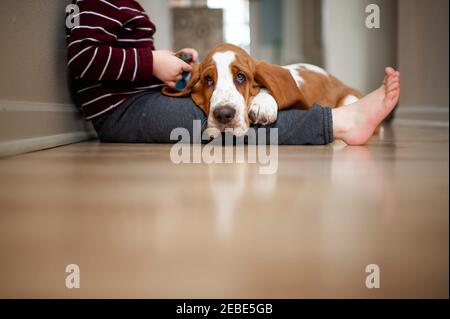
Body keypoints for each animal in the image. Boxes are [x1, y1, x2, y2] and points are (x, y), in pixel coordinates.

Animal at [163, 43, 362, 138]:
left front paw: (262, 105)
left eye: (241, 77)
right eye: (208, 79)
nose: (224, 115)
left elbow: (266, 88)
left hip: (350, 98)